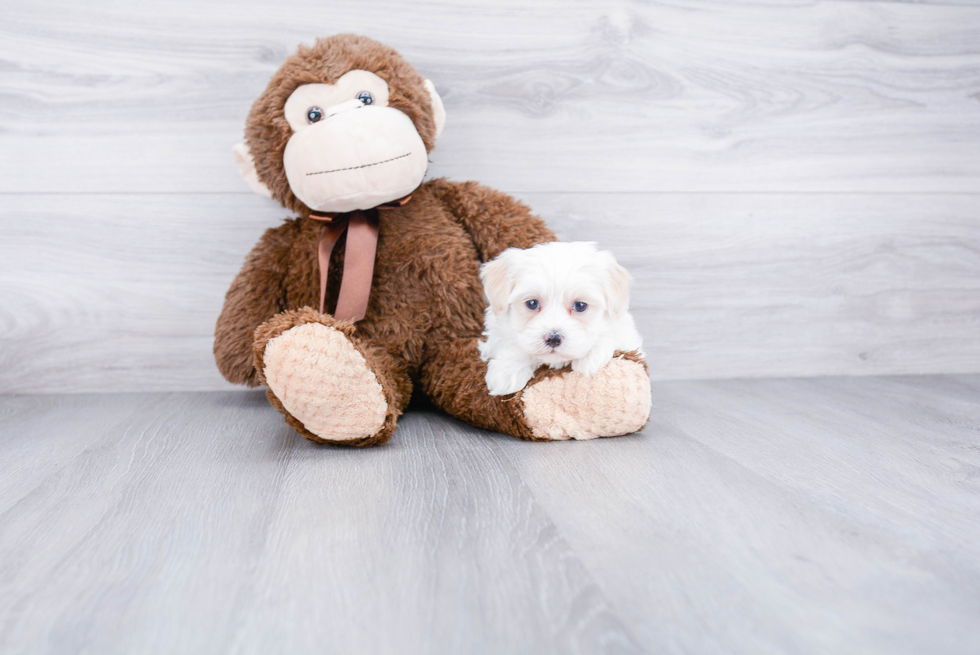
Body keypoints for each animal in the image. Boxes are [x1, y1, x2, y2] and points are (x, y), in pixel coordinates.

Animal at [480, 240, 648, 394]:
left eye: (580, 305)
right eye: (532, 303)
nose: (554, 338)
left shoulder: (627, 335)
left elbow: (611, 333)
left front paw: (591, 358)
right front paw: (507, 371)